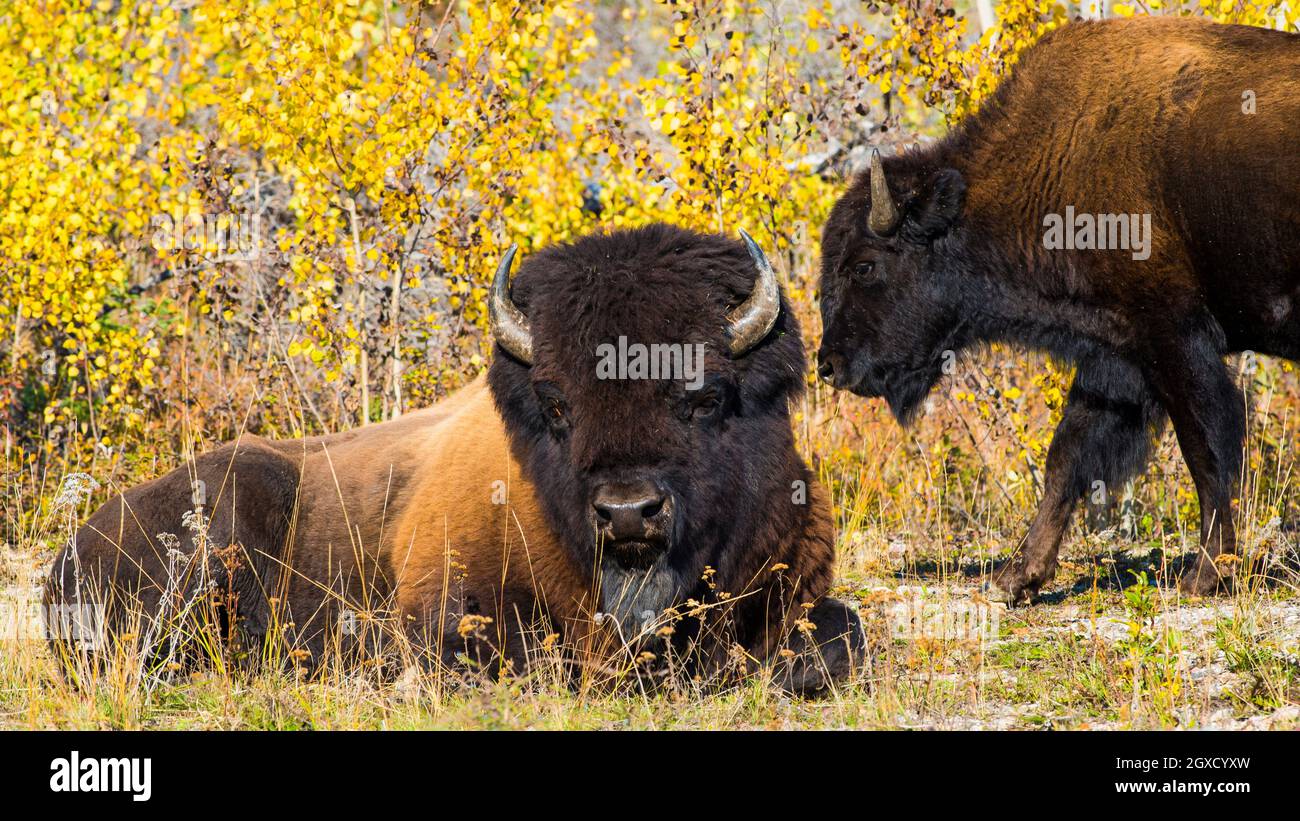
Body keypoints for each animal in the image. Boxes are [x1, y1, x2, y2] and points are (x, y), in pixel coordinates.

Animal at [47, 224, 864, 692]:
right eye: (557, 405)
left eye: (704, 395)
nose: (629, 512)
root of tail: (70, 549)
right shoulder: (444, 604)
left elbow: (840, 638)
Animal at [817, 16, 1300, 603]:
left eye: (864, 266)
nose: (828, 365)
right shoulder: (1115, 355)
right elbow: (1067, 456)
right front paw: (1016, 577)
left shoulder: (1174, 341)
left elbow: (1204, 449)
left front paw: (1206, 574)